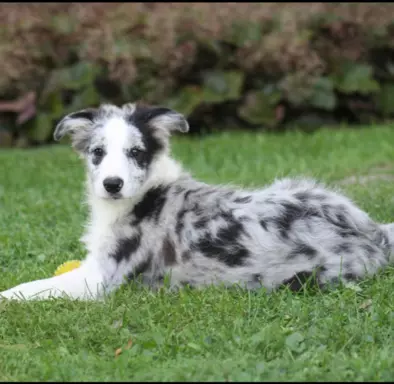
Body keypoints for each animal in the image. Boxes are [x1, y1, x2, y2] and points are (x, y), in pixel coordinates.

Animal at [1, 103, 392, 302]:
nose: (112, 185)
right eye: (97, 152)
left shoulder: (100, 278)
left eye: (135, 152)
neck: (145, 194)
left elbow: (33, 287)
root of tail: (371, 234)